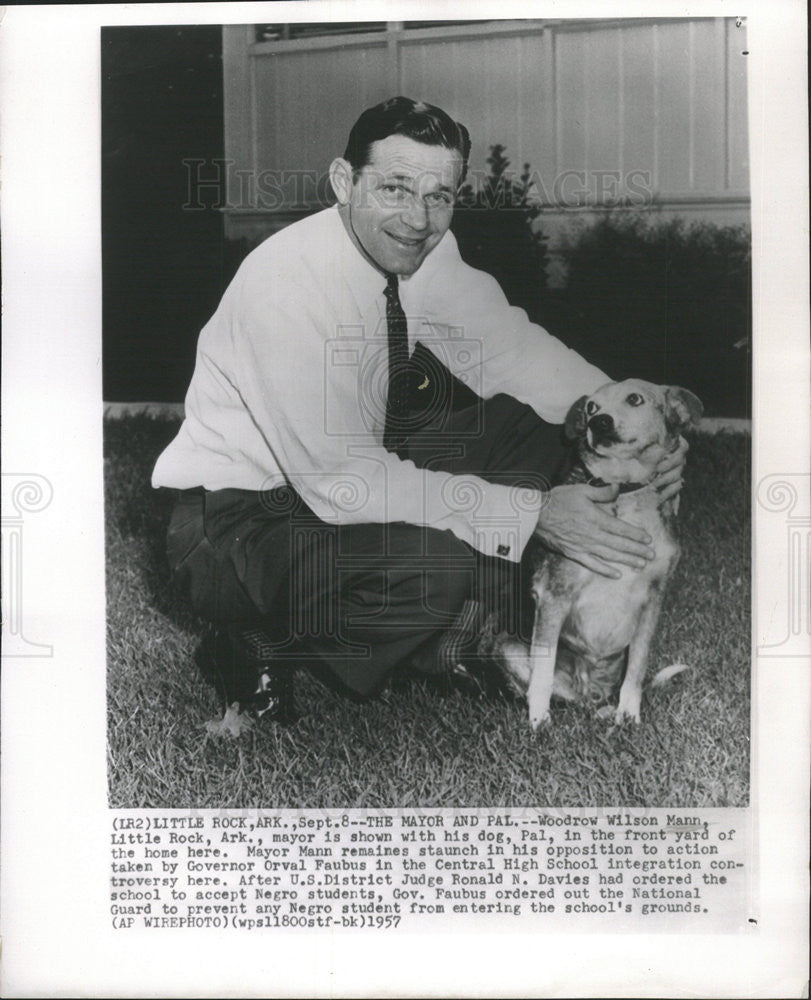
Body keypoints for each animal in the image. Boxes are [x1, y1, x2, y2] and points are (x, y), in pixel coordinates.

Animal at [494, 378, 704, 732]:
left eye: (635, 399)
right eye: (591, 407)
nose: (598, 422)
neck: (625, 491)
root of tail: (590, 690)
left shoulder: (653, 601)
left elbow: (637, 671)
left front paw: (629, 715)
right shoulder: (554, 596)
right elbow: (542, 672)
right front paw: (538, 721)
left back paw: (610, 712)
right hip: (506, 648)